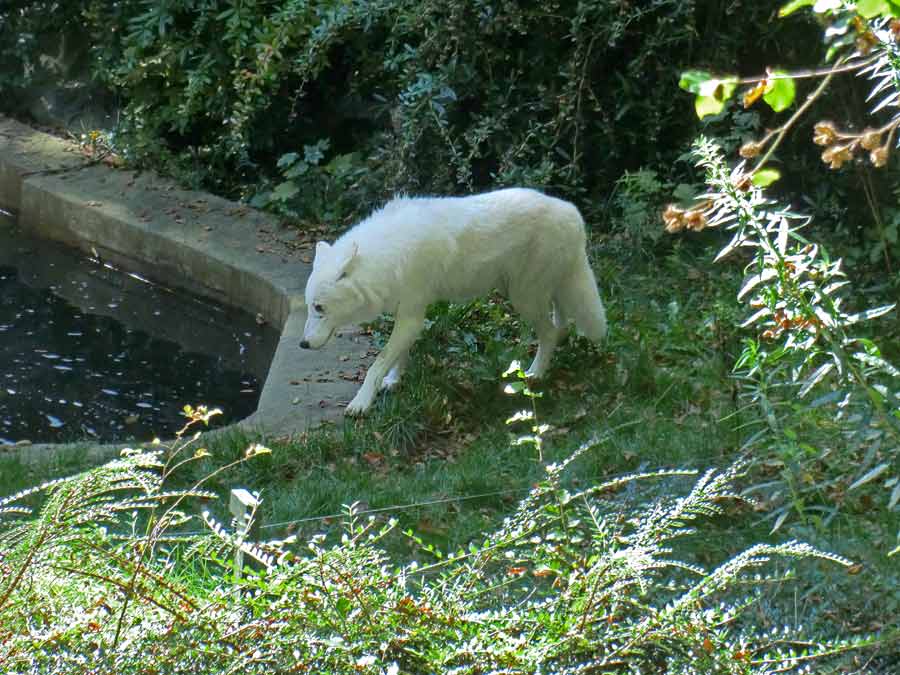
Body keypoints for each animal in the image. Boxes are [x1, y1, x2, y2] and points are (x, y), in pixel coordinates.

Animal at [300, 187, 604, 414]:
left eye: (319, 308)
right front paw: (393, 381)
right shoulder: (408, 316)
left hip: (524, 298)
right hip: (543, 293)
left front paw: (361, 403)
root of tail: (572, 213)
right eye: (309, 307)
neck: (385, 258)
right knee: (561, 323)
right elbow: (398, 355)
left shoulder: (411, 316)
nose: (302, 344)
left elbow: (378, 362)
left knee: (550, 332)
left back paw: (536, 374)